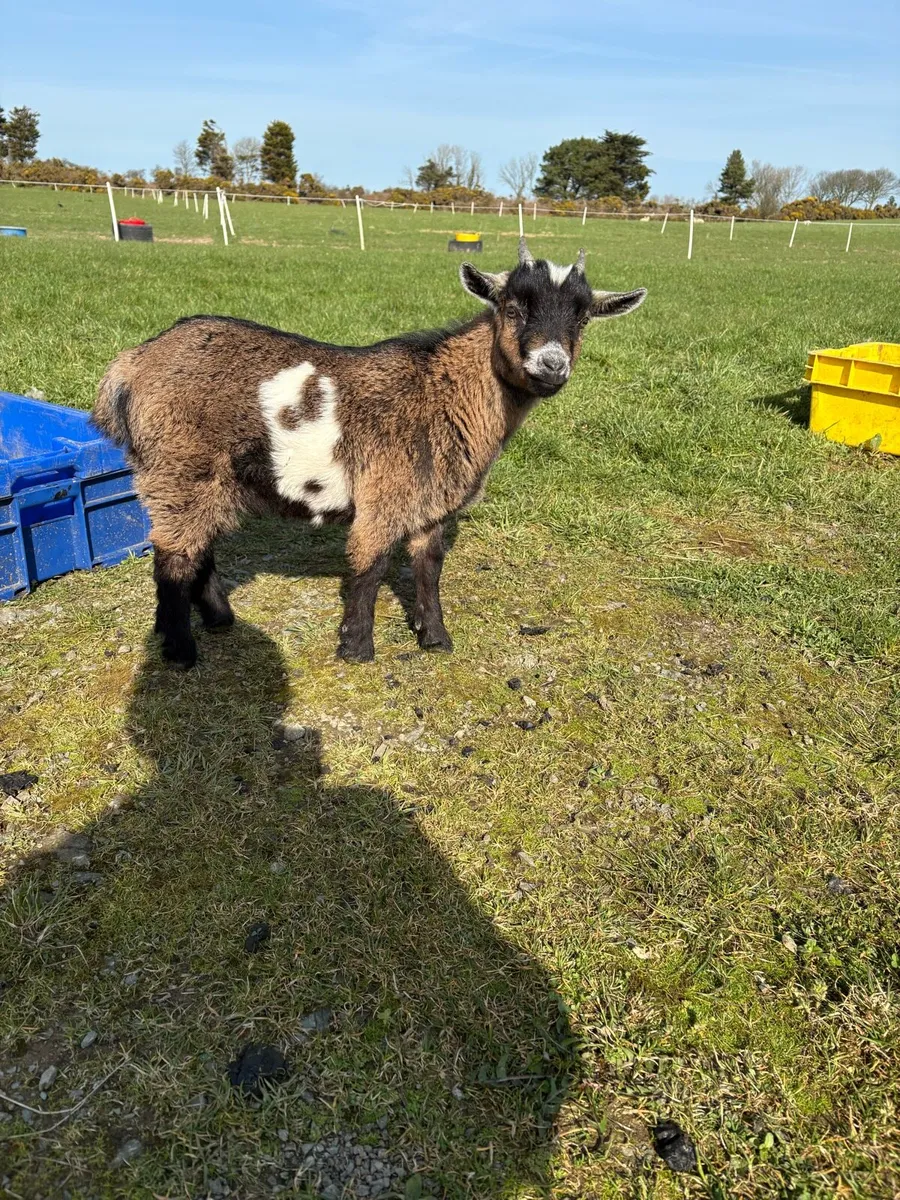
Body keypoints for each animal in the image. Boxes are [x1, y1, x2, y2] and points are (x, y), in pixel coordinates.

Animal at [93, 239, 646, 668]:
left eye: (583, 319)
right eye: (512, 308)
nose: (551, 366)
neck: (442, 390)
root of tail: (130, 363)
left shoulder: (431, 502)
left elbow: (428, 567)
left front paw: (435, 638)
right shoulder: (386, 491)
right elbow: (370, 566)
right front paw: (357, 648)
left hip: (203, 476)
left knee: (196, 545)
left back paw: (218, 620)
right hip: (178, 466)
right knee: (172, 557)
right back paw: (180, 651)